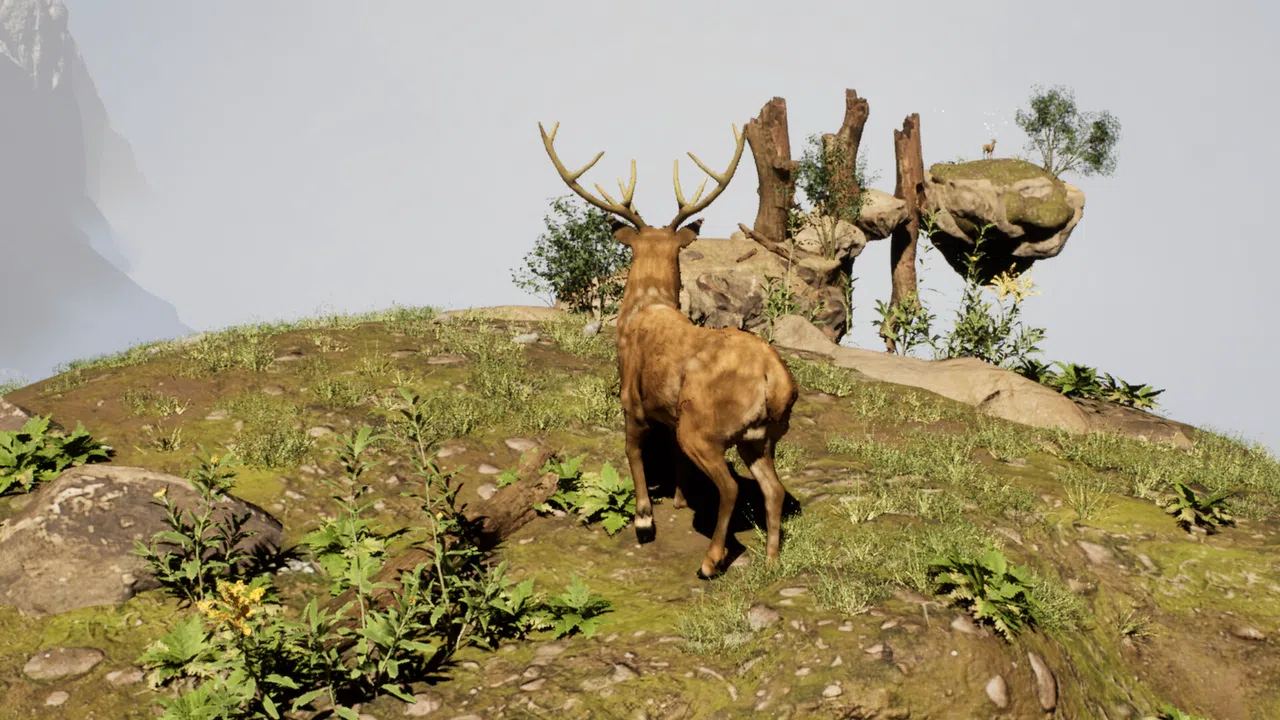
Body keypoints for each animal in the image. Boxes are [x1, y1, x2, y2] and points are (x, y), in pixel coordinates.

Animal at [538, 120, 800, 579]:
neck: (646, 305)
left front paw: (644, 519)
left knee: (730, 487)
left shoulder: (632, 398)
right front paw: (676, 497)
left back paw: (710, 561)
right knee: (775, 489)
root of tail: (775, 379)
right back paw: (770, 561)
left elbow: (632, 452)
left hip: (703, 425)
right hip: (763, 436)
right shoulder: (668, 410)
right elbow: (674, 459)